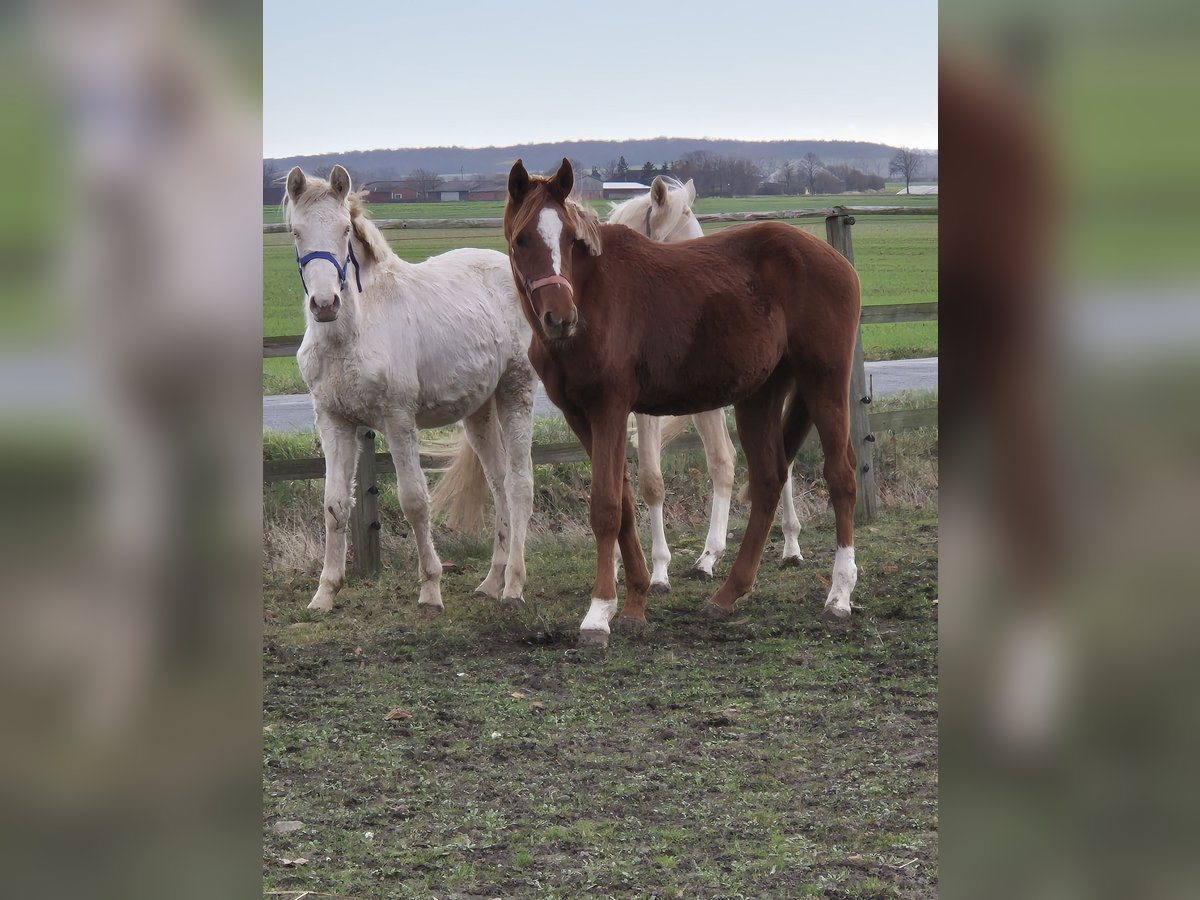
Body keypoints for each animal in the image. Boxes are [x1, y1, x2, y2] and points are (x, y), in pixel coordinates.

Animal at [284, 165, 535, 613]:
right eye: (296, 232)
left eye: (344, 230)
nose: (325, 304)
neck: (353, 332)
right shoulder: (334, 422)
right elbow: (334, 505)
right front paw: (325, 592)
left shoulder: (398, 420)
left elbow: (414, 501)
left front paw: (431, 589)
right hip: (480, 411)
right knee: (499, 484)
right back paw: (491, 581)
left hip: (516, 391)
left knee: (519, 485)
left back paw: (513, 586)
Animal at [606, 176, 804, 591]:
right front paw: (616, 567)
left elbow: (655, 480)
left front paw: (660, 571)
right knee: (733, 461)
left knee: (779, 462)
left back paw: (789, 547)